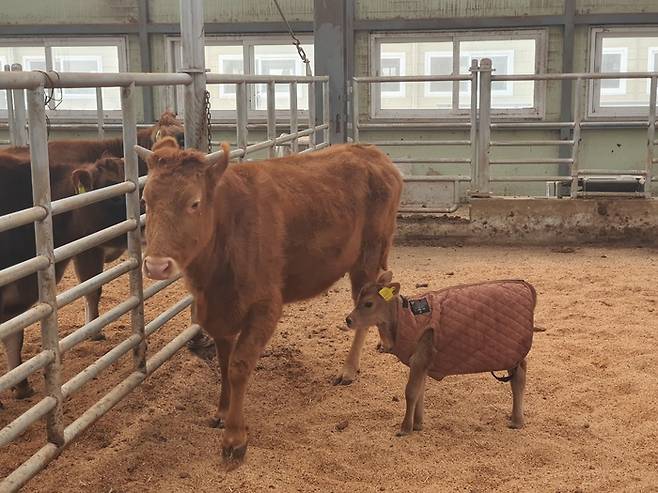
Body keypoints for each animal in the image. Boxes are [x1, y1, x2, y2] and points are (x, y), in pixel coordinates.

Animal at [136, 136, 402, 460]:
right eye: (146, 201)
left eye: (194, 203)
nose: (156, 265)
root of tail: (372, 153)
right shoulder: (218, 311)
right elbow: (224, 362)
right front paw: (222, 411)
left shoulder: (265, 307)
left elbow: (239, 366)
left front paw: (234, 436)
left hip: (369, 253)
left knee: (367, 298)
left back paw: (349, 369)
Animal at [344, 272, 532, 434]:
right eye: (358, 298)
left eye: (368, 303)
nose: (348, 319)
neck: (402, 319)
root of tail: (527, 287)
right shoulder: (421, 363)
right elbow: (420, 391)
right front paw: (417, 424)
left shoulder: (420, 357)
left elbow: (411, 392)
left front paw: (405, 428)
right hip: (509, 354)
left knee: (519, 377)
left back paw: (517, 421)